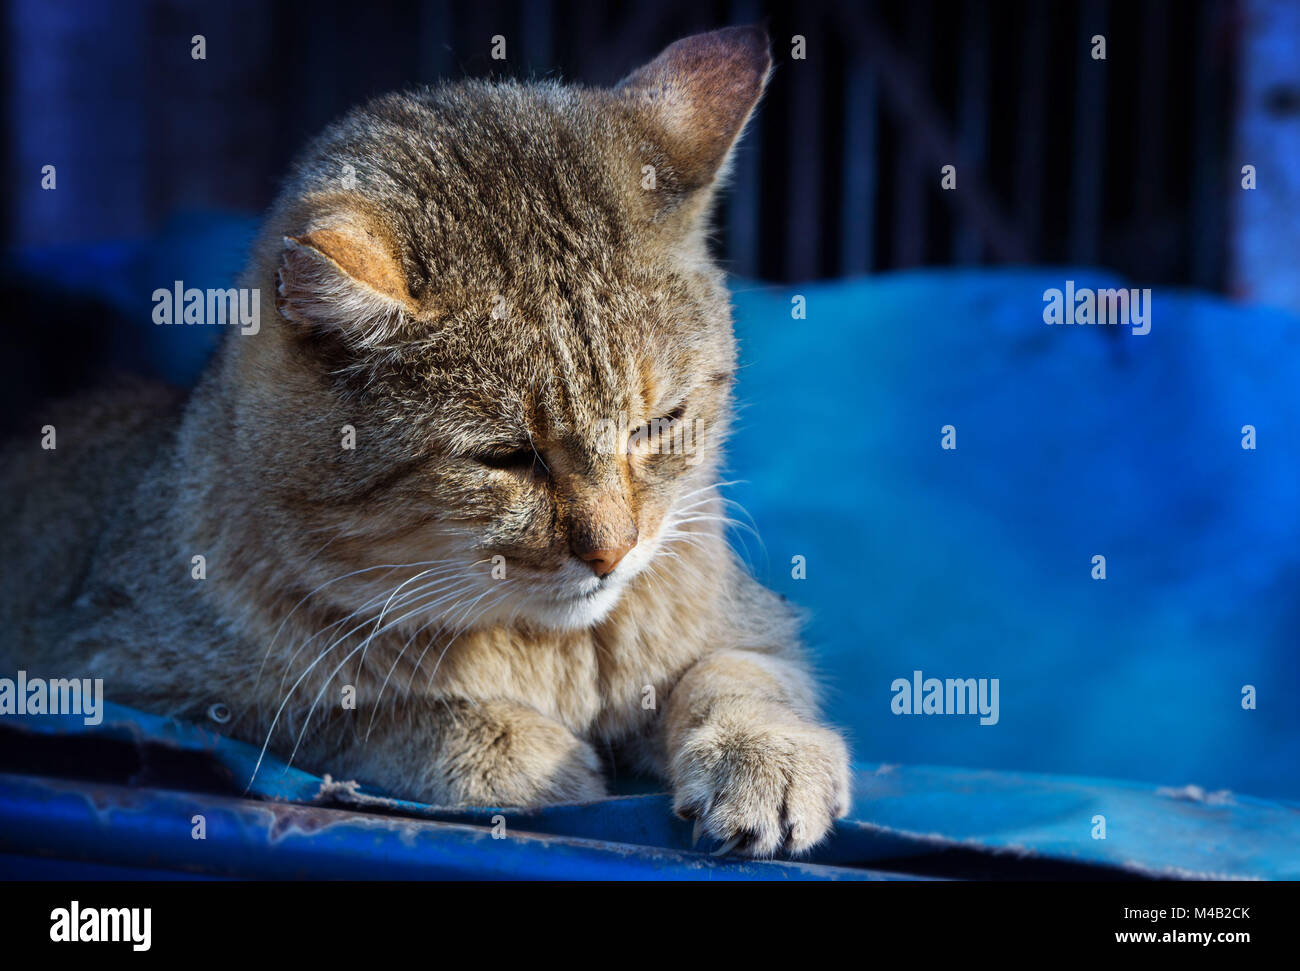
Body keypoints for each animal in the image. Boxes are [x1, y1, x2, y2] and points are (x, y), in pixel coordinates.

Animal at [0, 22, 847, 857]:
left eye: (659, 424)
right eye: (506, 457)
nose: (612, 551)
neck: (545, 644)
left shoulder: (749, 624)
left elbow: (735, 673)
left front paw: (765, 747)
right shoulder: (124, 682)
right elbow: (344, 711)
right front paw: (508, 744)